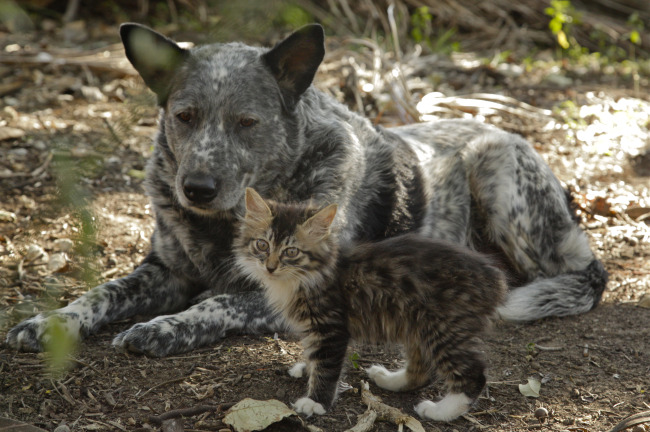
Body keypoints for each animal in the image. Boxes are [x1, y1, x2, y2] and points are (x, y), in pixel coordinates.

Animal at [5, 22, 604, 356]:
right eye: (184, 115)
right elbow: (99, 292)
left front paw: (166, 328)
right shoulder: (164, 271)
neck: (224, 224)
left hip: (498, 175)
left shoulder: (300, 291)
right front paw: (49, 323)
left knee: (578, 275)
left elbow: (219, 302)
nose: (196, 187)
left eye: (247, 122)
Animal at [234, 187, 506, 420]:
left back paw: (440, 410)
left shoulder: (331, 327)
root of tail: (494, 277)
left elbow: (326, 366)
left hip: (444, 328)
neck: (308, 275)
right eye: (262, 245)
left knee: (473, 375)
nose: (270, 267)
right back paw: (388, 379)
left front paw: (316, 401)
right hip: (418, 326)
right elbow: (313, 355)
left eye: (291, 252)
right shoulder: (314, 329)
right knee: (423, 371)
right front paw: (306, 369)